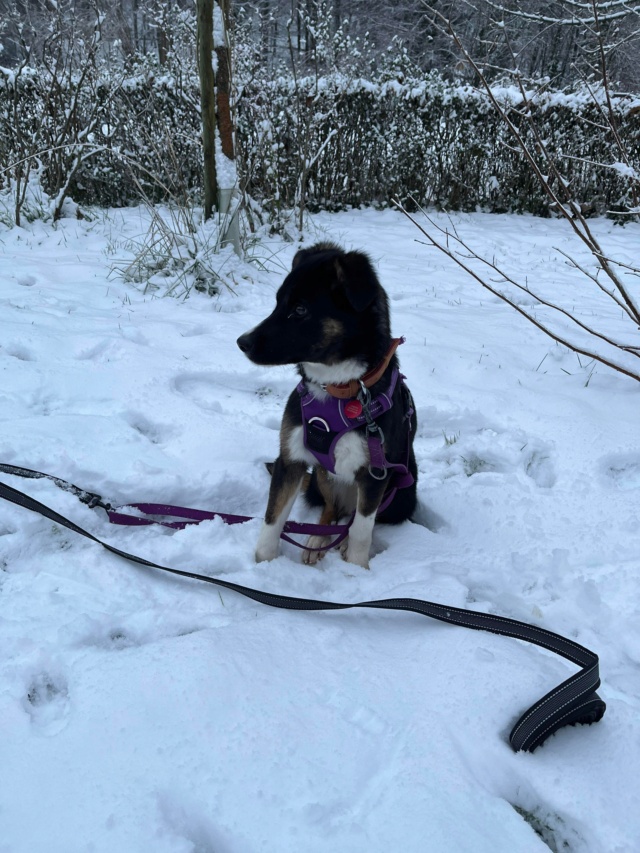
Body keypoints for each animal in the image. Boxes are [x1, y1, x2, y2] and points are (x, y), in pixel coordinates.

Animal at [238, 243, 418, 568]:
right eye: (277, 303)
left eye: (300, 310)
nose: (242, 342)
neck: (339, 389)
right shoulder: (291, 459)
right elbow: (272, 519)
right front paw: (263, 563)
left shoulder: (375, 474)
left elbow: (362, 529)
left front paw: (356, 569)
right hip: (323, 475)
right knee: (332, 512)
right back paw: (317, 540)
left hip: (403, 492)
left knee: (354, 519)